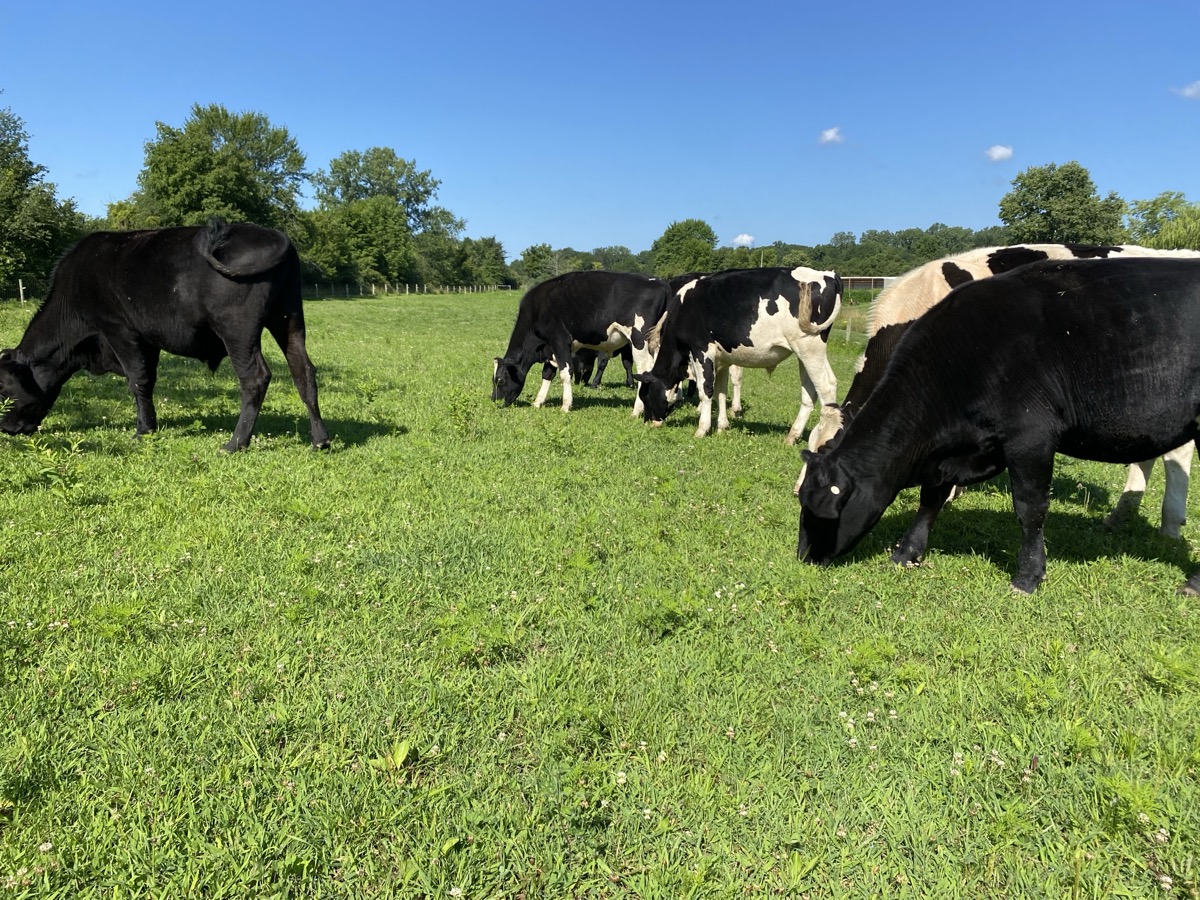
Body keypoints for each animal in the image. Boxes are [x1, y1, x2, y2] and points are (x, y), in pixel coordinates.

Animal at [0, 220, 330, 452]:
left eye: (3, 389)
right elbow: (148, 379)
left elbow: (137, 380)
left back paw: (235, 444)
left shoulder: (118, 329)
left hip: (237, 329)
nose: (6, 429)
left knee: (255, 378)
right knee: (303, 371)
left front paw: (142, 430)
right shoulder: (148, 340)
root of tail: (275, 235)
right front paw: (150, 424)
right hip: (289, 319)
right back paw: (320, 440)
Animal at [492, 271, 671, 416]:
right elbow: (547, 374)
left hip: (639, 339)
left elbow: (565, 373)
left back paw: (637, 410)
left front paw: (565, 405)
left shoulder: (559, 340)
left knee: (644, 370)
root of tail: (660, 282)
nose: (494, 399)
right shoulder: (550, 348)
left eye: (499, 380)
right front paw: (538, 402)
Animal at [636, 266, 840, 443]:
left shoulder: (701, 351)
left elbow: (705, 391)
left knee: (826, 387)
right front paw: (722, 427)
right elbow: (720, 391)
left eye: (645, 396)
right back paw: (792, 436)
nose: (648, 422)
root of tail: (828, 275)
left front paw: (702, 429)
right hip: (804, 353)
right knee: (810, 391)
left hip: (809, 348)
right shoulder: (722, 359)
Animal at [796, 256, 1200, 595]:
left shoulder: (1030, 438)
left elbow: (1030, 507)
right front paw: (906, 553)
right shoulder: (951, 454)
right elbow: (931, 497)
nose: (804, 557)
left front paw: (1028, 576)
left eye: (820, 508)